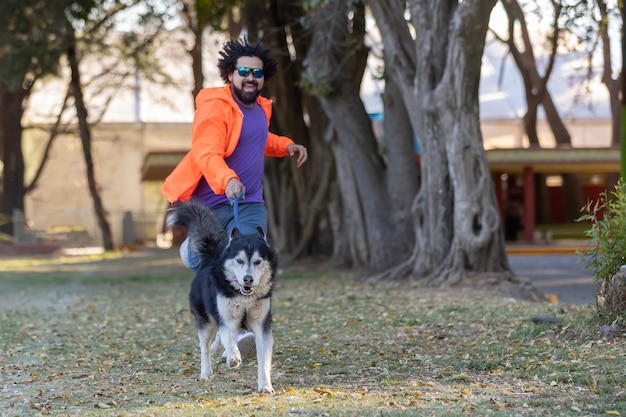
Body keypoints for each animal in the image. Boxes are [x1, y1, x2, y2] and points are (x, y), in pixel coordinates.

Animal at [166, 199, 276, 394]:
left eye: (258, 261)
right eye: (239, 260)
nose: (248, 279)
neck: (244, 297)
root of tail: (210, 257)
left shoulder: (262, 324)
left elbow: (263, 360)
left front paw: (265, 386)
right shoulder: (227, 318)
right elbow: (228, 337)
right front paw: (233, 357)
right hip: (204, 320)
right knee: (205, 347)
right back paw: (206, 371)